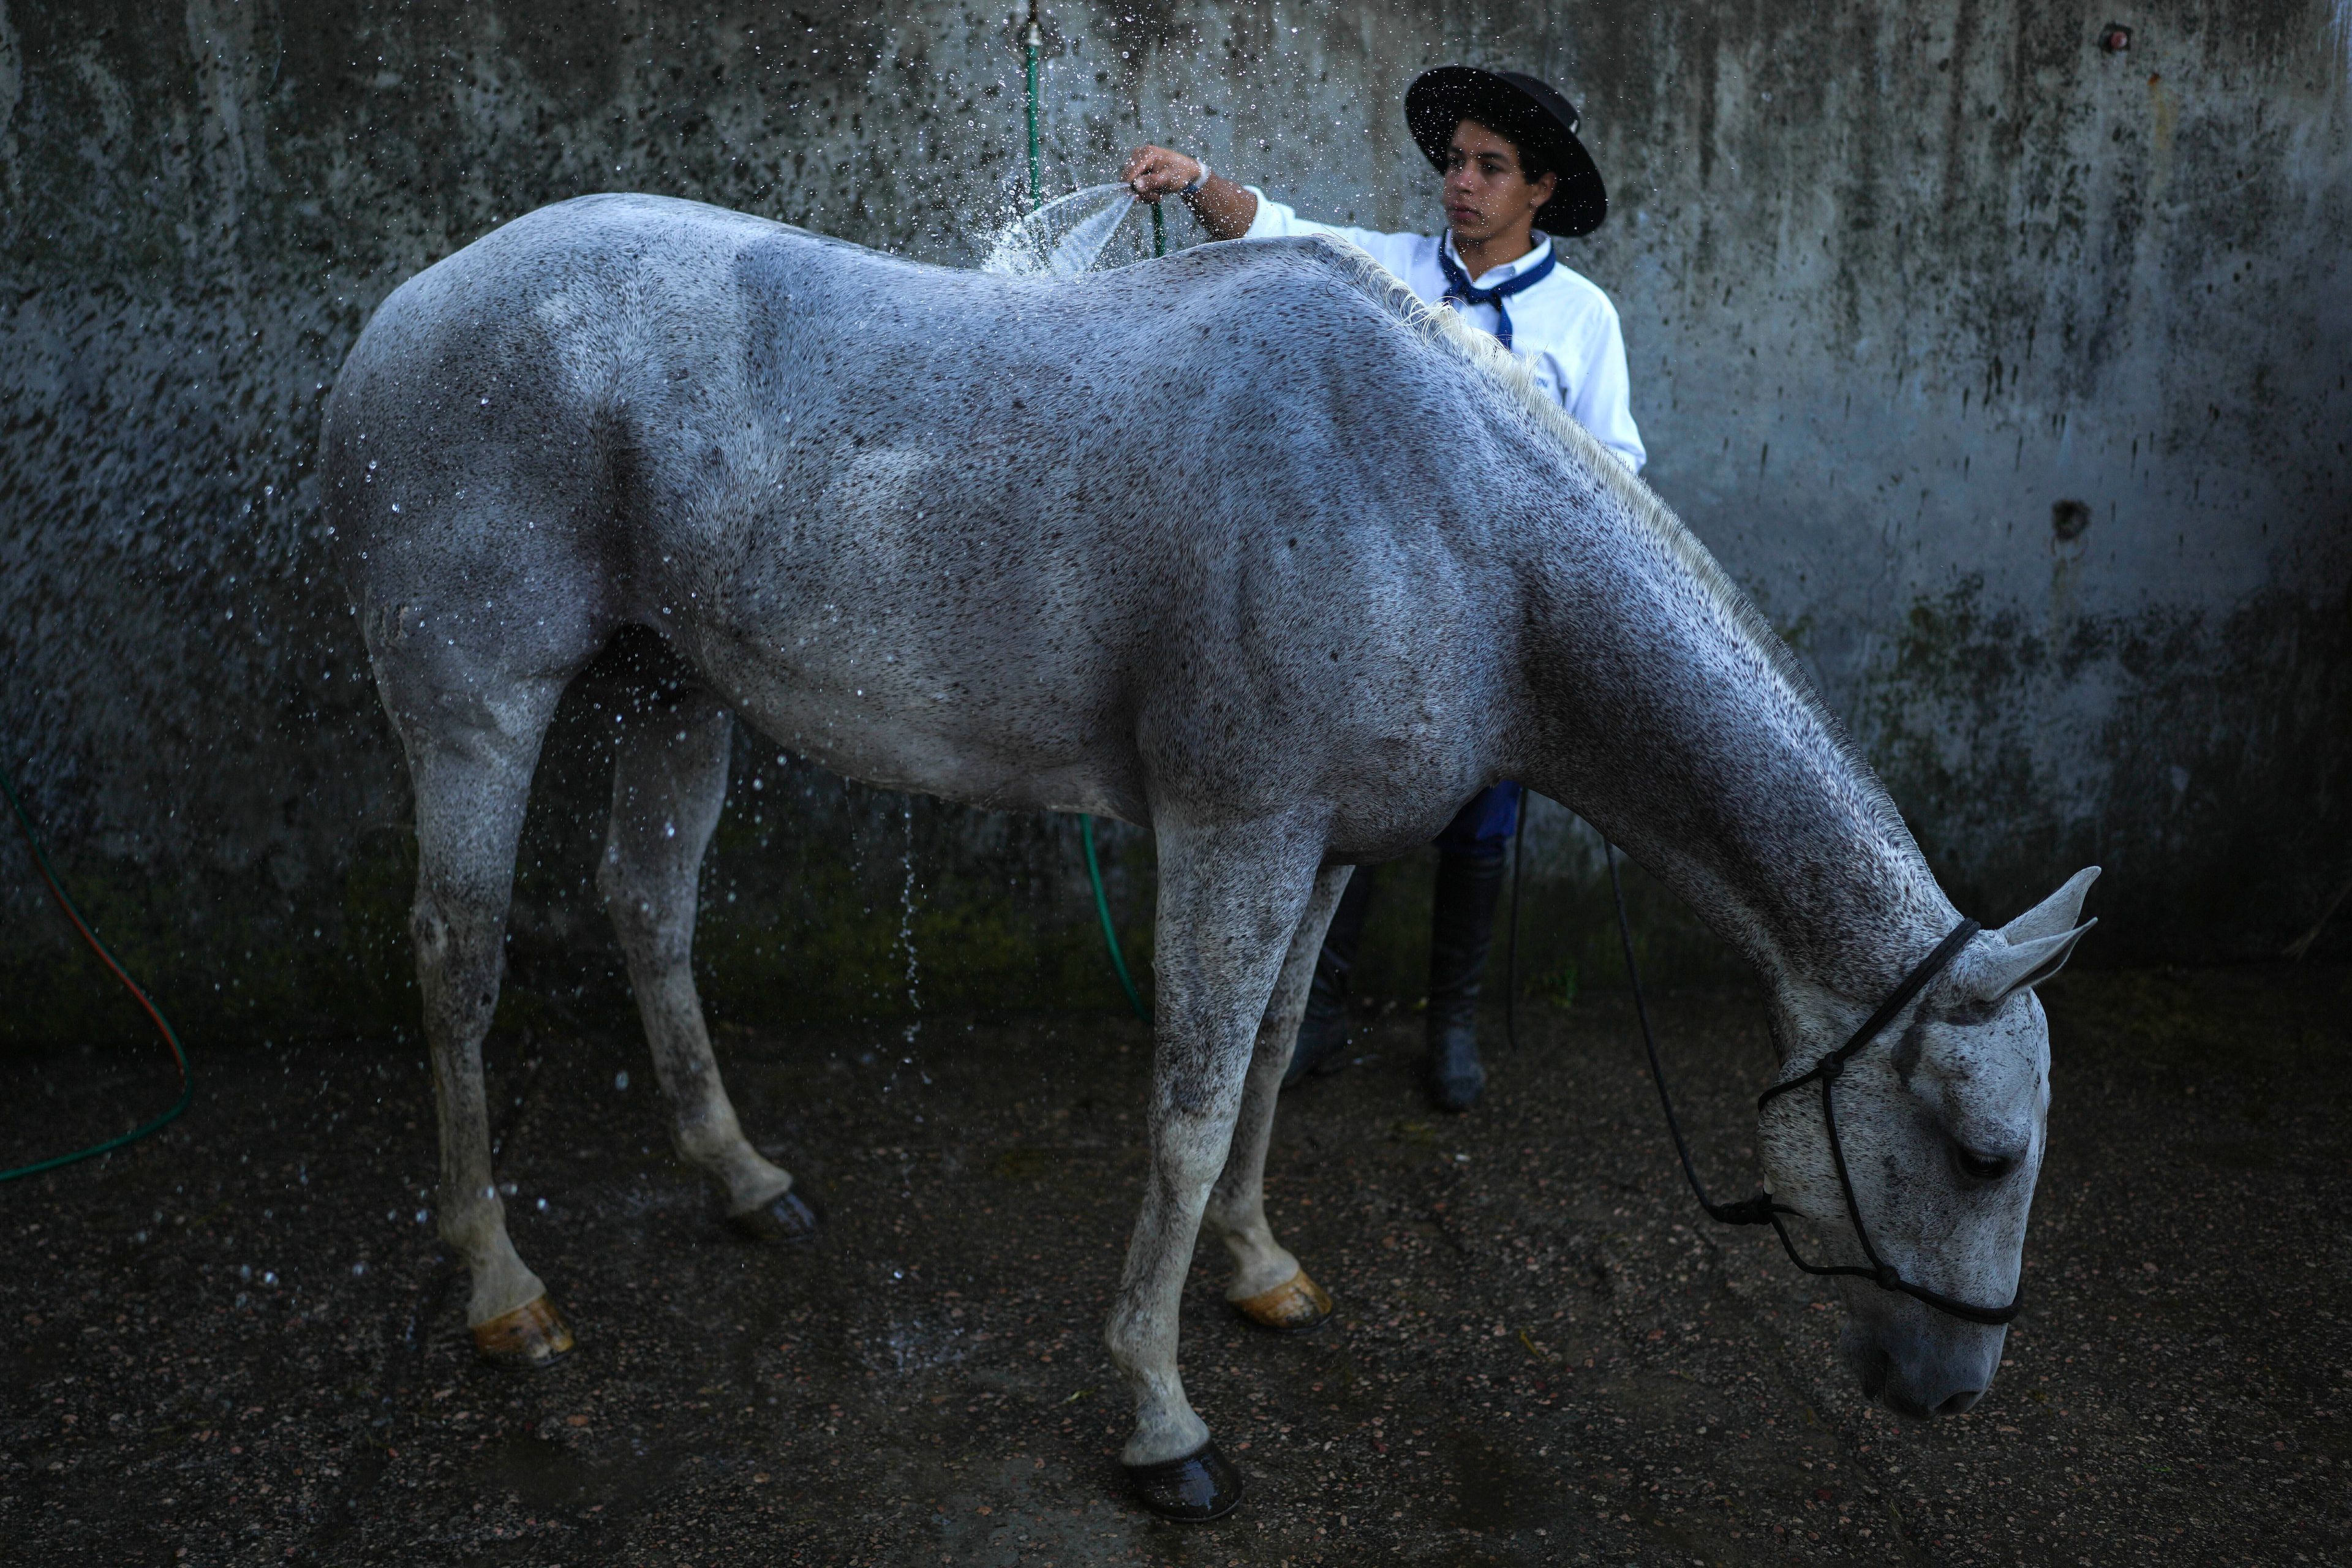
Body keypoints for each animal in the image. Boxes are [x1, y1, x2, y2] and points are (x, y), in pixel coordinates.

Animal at [326, 196, 2098, 1523]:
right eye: (1984, 1153)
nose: (1950, 1390)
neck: (1452, 524)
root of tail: (405, 309)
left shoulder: (1318, 849)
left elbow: (1265, 1066)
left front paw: (1260, 1272)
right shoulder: (1233, 832)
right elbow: (1182, 1110)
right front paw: (1163, 1421)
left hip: (673, 691)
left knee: (648, 910)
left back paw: (746, 1181)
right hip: (480, 706)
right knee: (455, 965)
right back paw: (501, 1290)